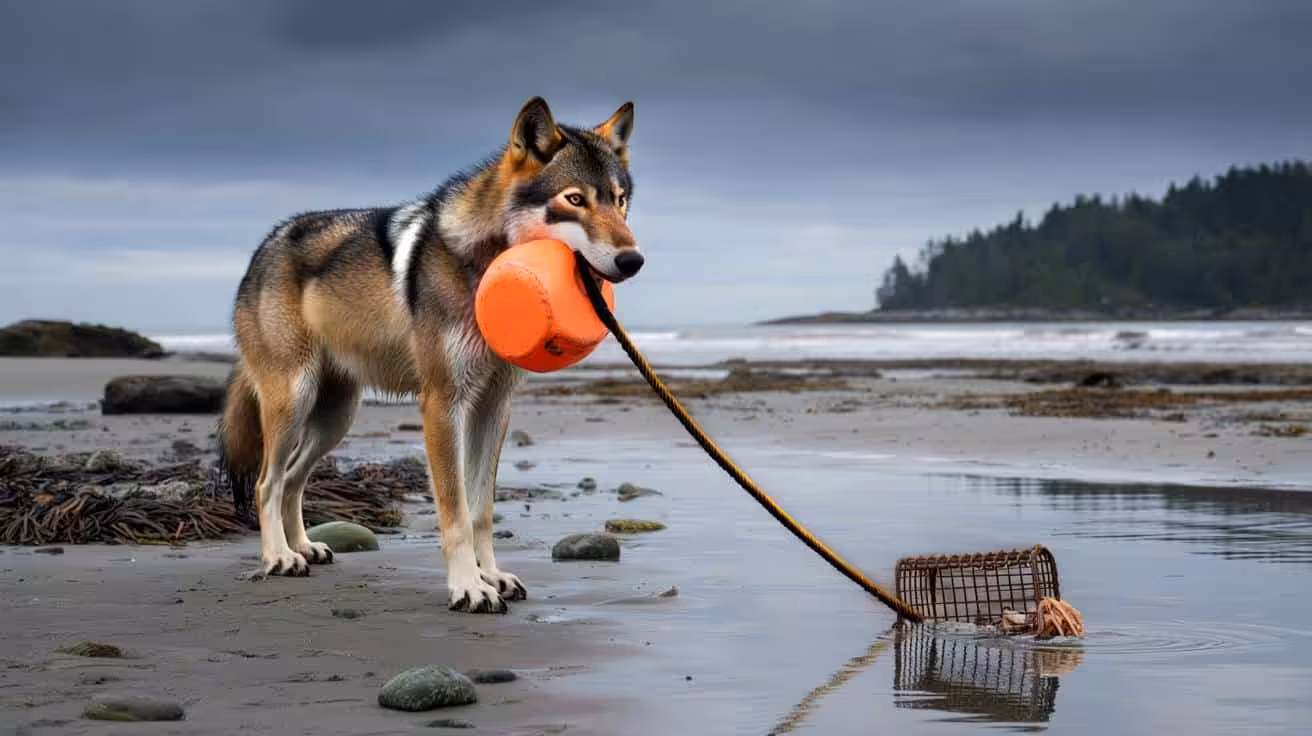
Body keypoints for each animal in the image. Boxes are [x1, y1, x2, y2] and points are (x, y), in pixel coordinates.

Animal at [217, 97, 642, 614]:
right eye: (575, 200)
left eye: (619, 200)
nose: (633, 260)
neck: (486, 266)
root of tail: (264, 246)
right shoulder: (443, 404)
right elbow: (455, 514)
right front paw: (468, 587)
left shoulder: (493, 407)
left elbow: (481, 511)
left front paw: (491, 576)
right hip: (292, 403)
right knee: (267, 482)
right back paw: (278, 558)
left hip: (335, 418)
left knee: (294, 479)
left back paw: (304, 547)